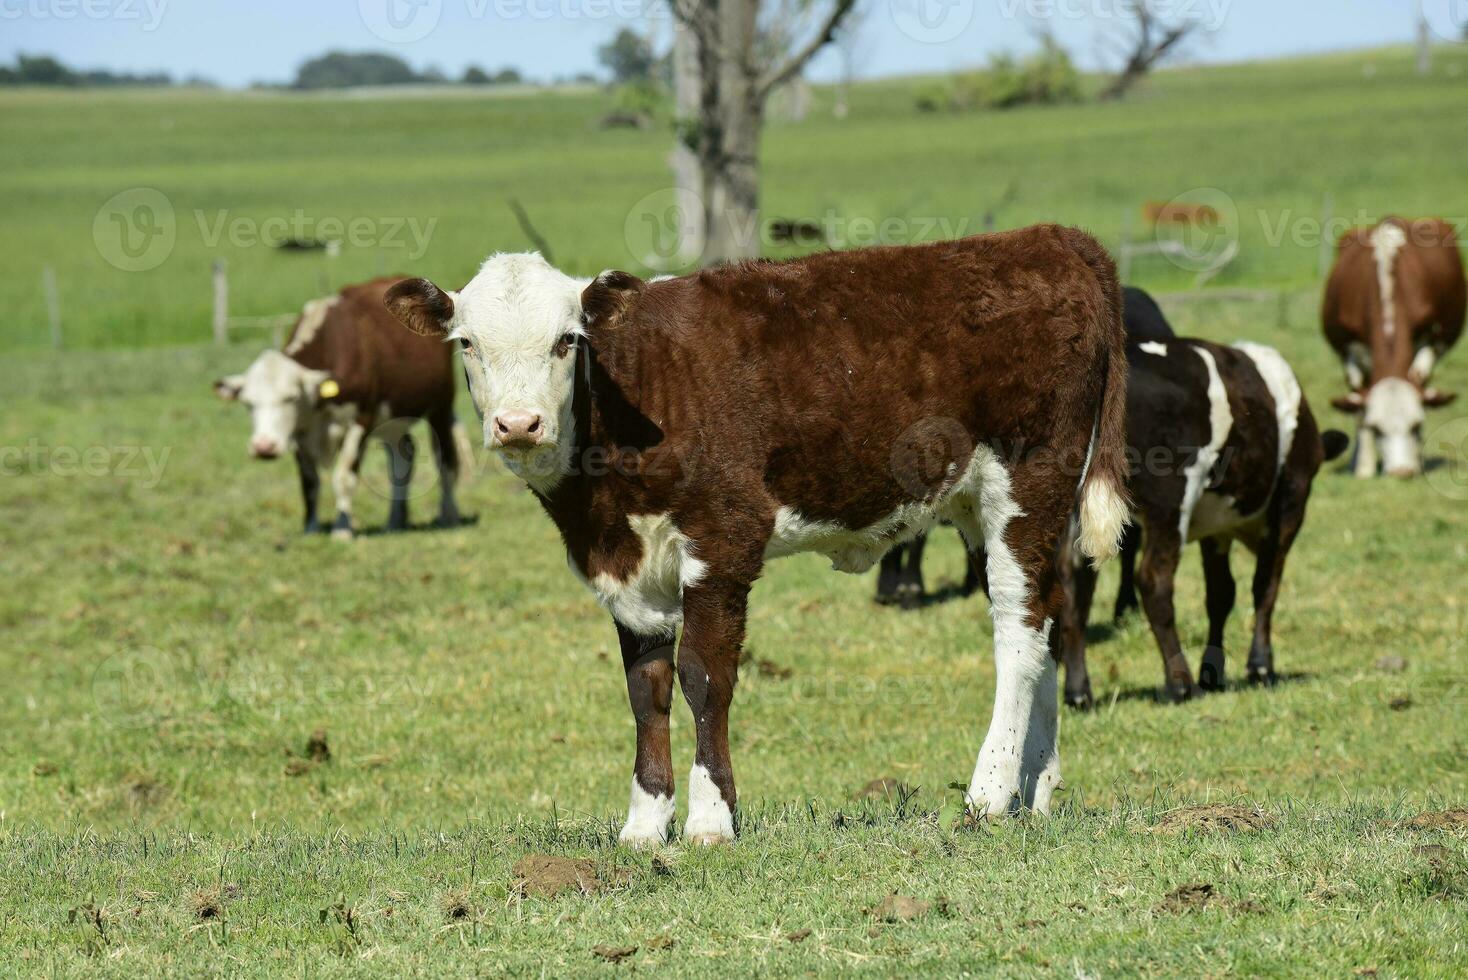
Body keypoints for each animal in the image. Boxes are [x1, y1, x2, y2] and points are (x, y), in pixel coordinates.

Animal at [214, 275, 466, 539]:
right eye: (247, 403)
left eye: (291, 398)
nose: (264, 447)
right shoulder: (299, 432)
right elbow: (309, 482)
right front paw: (311, 529)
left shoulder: (360, 421)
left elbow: (344, 477)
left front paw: (342, 529)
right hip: (392, 419)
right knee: (402, 457)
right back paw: (395, 521)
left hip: (440, 406)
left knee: (446, 458)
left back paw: (448, 515)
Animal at [384, 227, 1127, 845]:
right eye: (467, 344)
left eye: (568, 340)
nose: (518, 423)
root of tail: (1052, 240)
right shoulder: (627, 572)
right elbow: (646, 688)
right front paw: (644, 826)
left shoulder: (724, 538)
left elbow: (703, 675)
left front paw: (711, 820)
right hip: (981, 504)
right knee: (1046, 613)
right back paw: (1037, 788)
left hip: (1028, 482)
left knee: (1019, 634)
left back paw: (990, 793)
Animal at [1327, 215, 1462, 475]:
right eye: (1377, 428)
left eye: (1416, 425)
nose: (1402, 472)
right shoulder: (1348, 349)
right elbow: (1358, 405)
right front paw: (1364, 467)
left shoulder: (1432, 342)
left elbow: (1420, 380)